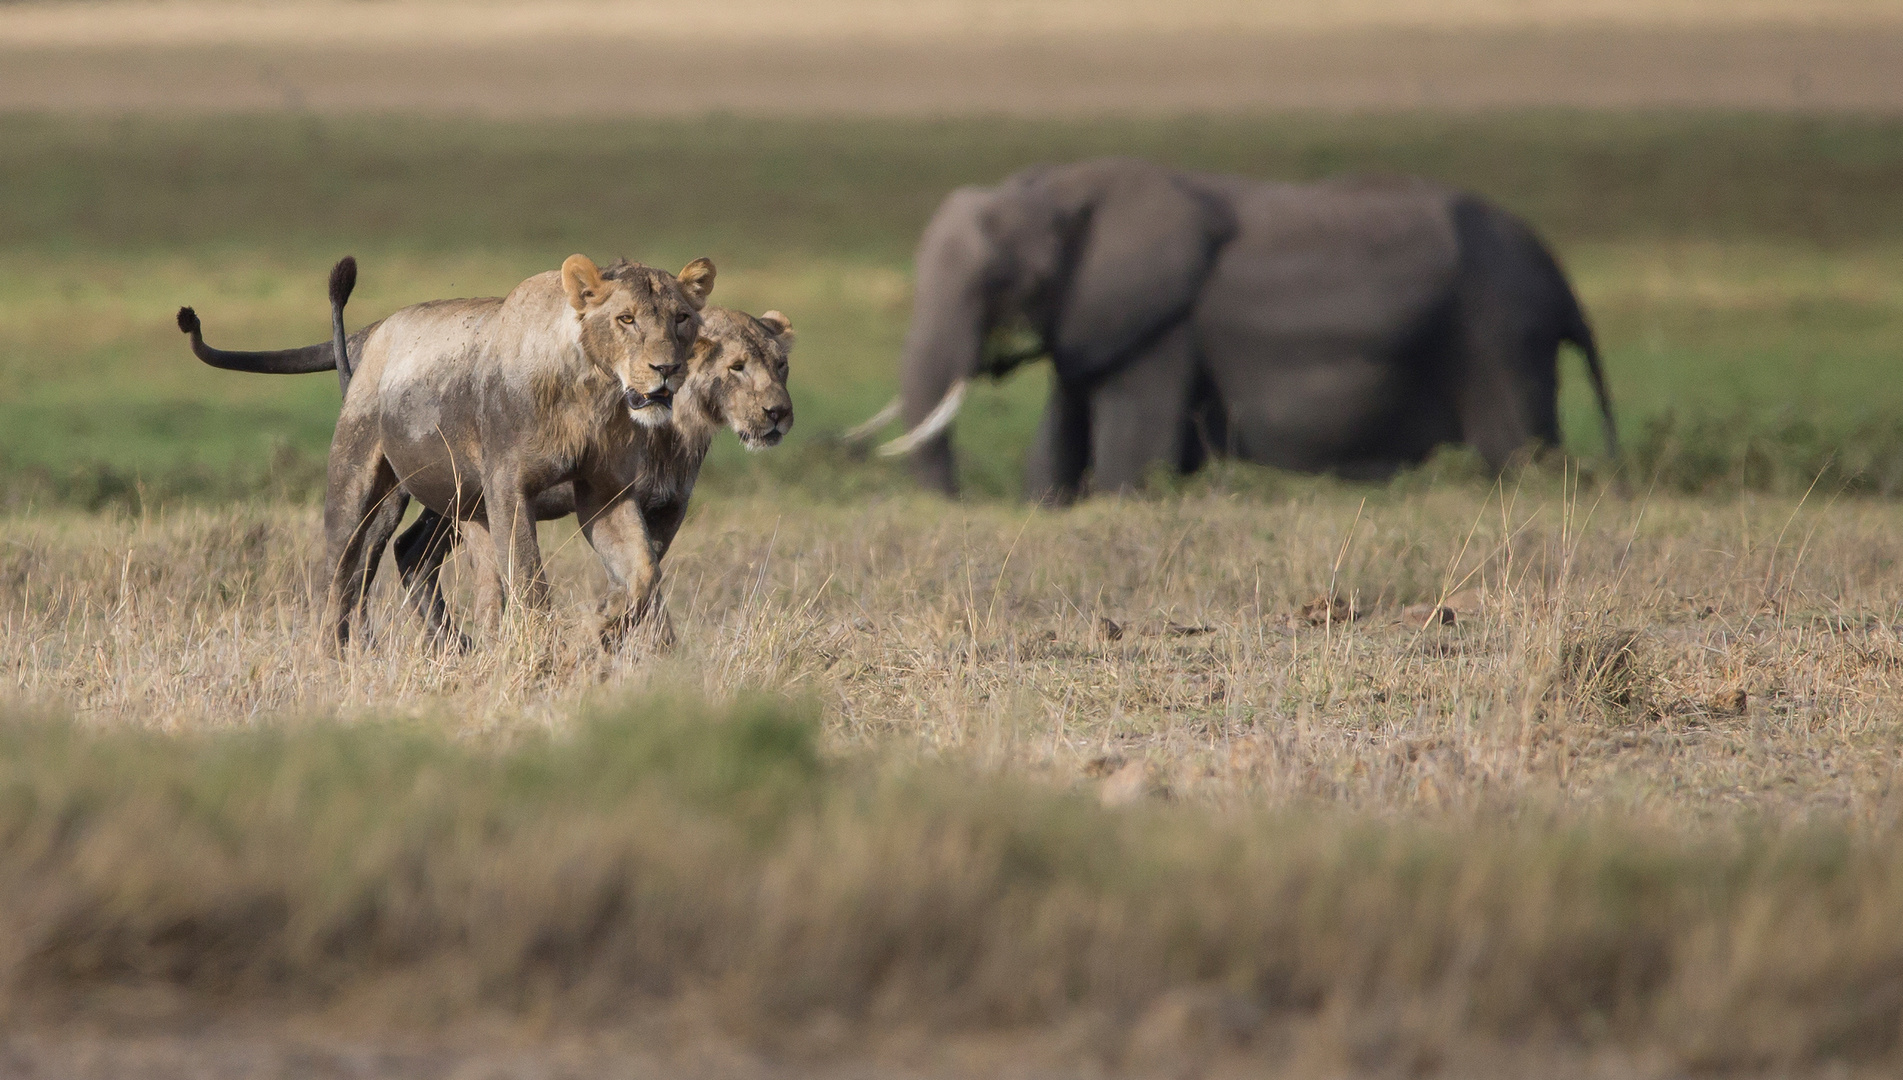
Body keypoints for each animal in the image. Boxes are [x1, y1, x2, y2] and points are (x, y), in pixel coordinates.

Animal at [181, 252, 715, 654]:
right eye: (626, 319)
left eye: (682, 319)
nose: (667, 369)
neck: (593, 392)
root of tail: (377, 329)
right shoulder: (509, 486)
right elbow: (530, 580)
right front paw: (544, 653)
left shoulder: (608, 493)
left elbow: (644, 574)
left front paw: (602, 625)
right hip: (359, 480)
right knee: (340, 573)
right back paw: (334, 659)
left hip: (461, 500)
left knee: (421, 564)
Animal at [856, 155, 1613, 501]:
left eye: (1003, 281)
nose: (957, 507)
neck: (1062, 186)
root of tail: (1561, 281)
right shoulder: (1095, 319)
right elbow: (1058, 438)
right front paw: (1045, 506)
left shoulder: (1165, 324)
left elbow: (1133, 454)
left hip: (1499, 335)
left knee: (1519, 453)